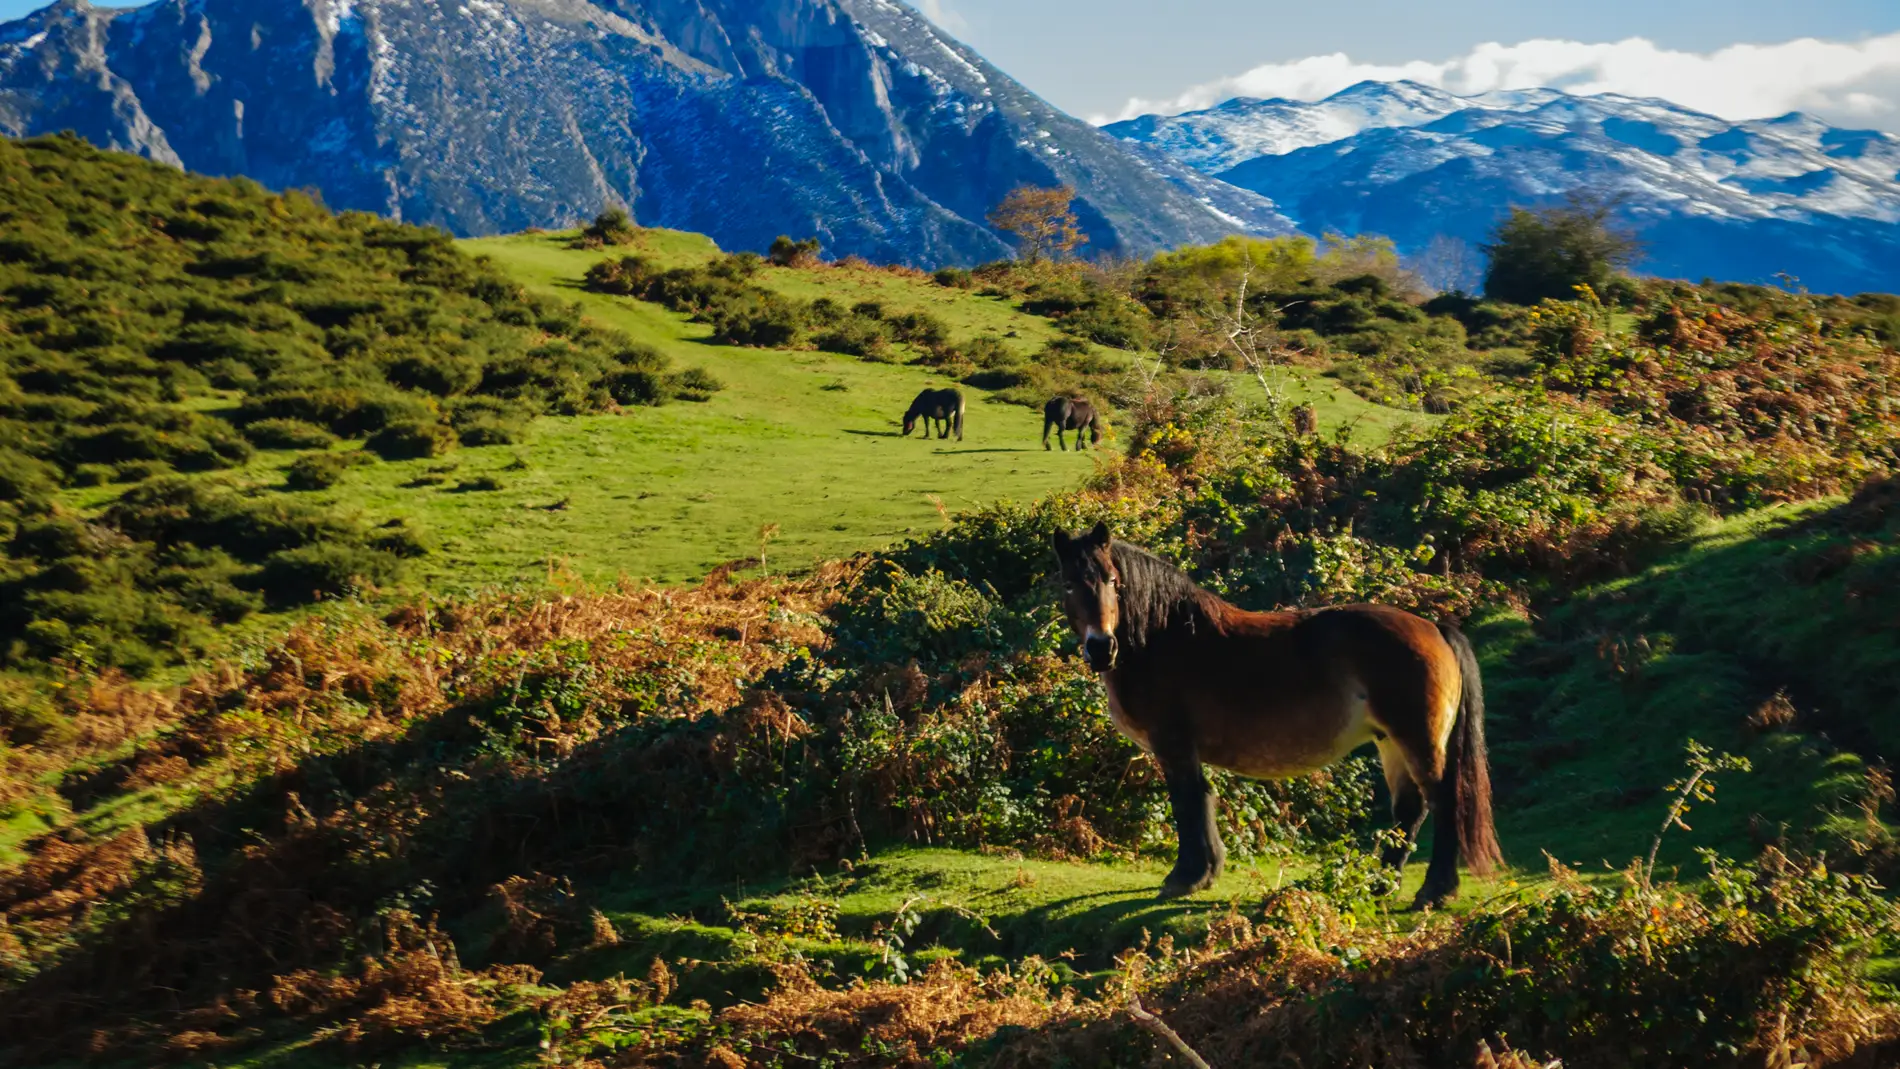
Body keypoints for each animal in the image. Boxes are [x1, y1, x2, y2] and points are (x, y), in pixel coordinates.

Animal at [1056, 524, 1497, 907]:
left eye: (1113, 581)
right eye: (1069, 584)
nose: (1101, 648)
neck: (1161, 636)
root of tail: (1435, 628)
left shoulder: (1173, 744)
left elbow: (1186, 802)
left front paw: (1185, 877)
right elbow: (1204, 798)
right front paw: (1207, 871)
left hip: (1417, 738)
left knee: (1442, 800)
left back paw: (1436, 890)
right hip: (1390, 741)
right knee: (1409, 810)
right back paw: (1379, 884)